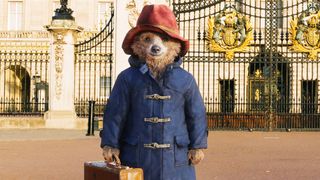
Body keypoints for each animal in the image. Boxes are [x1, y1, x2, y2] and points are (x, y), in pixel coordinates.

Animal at [101, 4, 209, 180]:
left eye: (165, 39)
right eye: (147, 38)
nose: (156, 48)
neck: (157, 69)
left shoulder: (190, 85)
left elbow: (195, 113)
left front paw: (197, 152)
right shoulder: (122, 84)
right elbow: (115, 114)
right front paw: (110, 150)